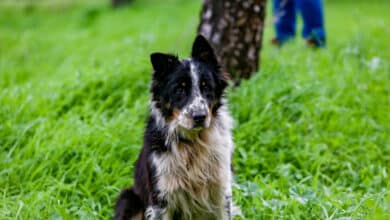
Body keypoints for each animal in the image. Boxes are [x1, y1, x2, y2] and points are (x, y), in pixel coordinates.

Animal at [114, 35, 236, 220]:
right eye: (180, 89)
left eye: (206, 86)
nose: (199, 117)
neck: (193, 143)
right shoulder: (161, 198)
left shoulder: (221, 191)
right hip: (128, 199)